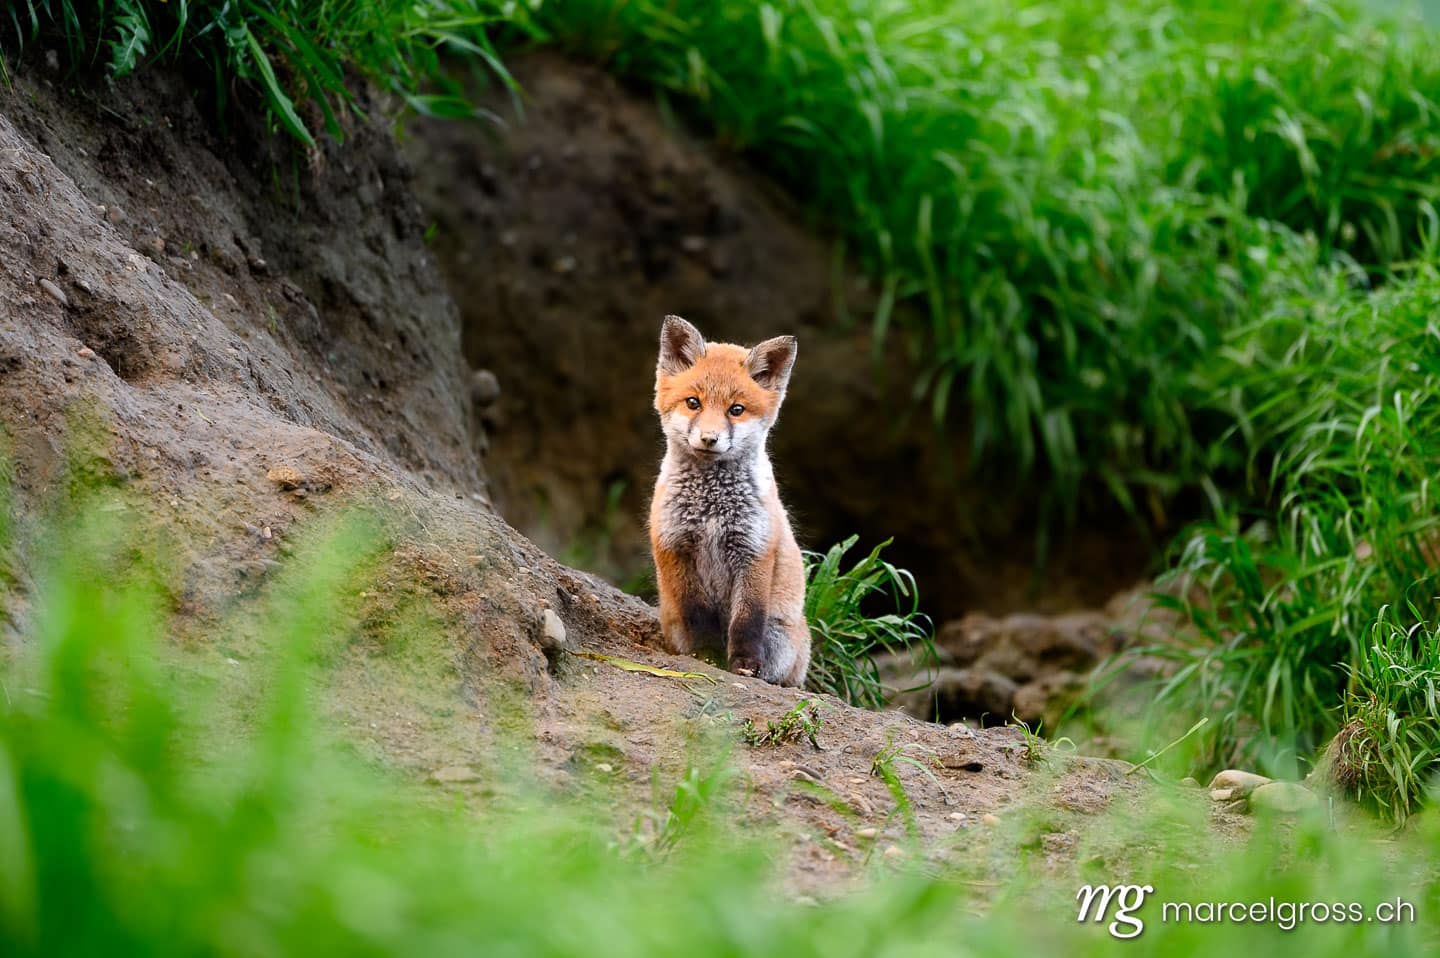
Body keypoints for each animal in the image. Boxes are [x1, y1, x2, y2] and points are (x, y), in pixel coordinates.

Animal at [648, 314, 810, 687]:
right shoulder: (675, 546)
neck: (711, 511)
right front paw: (706, 657)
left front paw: (744, 664)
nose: (710, 438)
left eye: (736, 410)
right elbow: (698, 616)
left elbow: (746, 621)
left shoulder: (754, 551)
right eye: (693, 403)